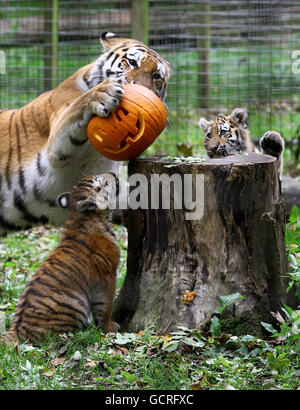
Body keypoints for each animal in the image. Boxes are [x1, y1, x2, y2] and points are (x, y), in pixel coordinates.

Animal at [0, 32, 170, 237]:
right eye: (132, 62)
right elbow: (78, 106)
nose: (142, 89)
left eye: (156, 76)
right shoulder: (55, 145)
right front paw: (103, 92)